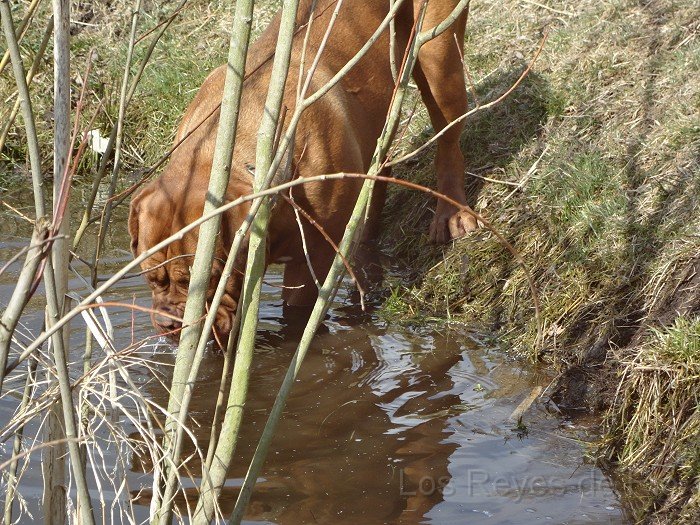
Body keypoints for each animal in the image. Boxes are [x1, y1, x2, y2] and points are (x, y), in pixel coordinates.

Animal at [129, 0, 474, 340]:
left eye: (210, 278)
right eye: (150, 278)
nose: (170, 324)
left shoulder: (312, 260)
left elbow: (297, 313)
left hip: (438, 53)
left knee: (448, 141)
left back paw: (452, 212)